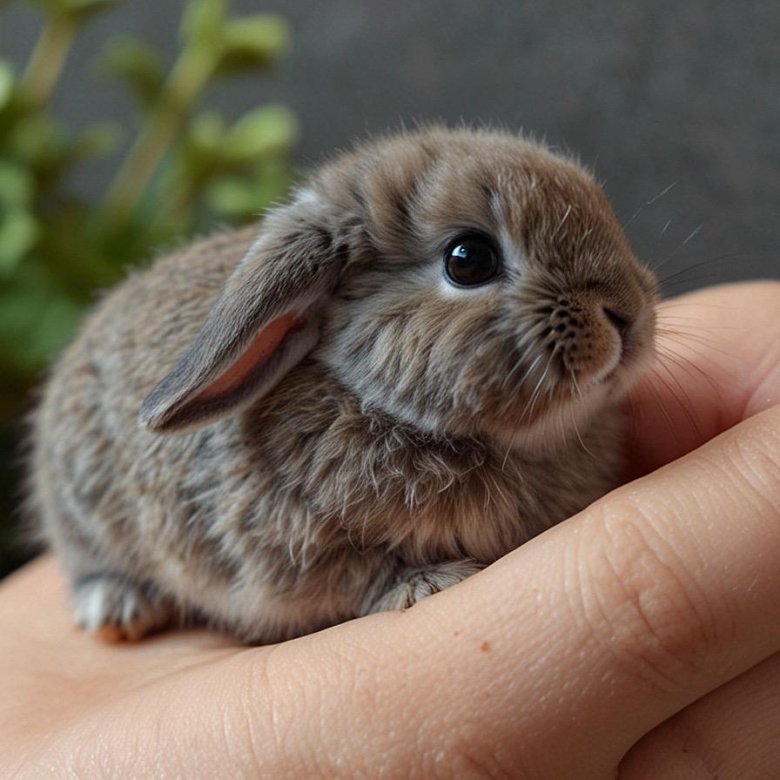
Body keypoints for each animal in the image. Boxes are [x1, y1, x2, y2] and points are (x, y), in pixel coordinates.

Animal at [30, 126, 658, 644]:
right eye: (468, 260)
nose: (628, 313)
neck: (371, 399)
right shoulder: (295, 549)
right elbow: (359, 573)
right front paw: (432, 582)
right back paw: (117, 605)